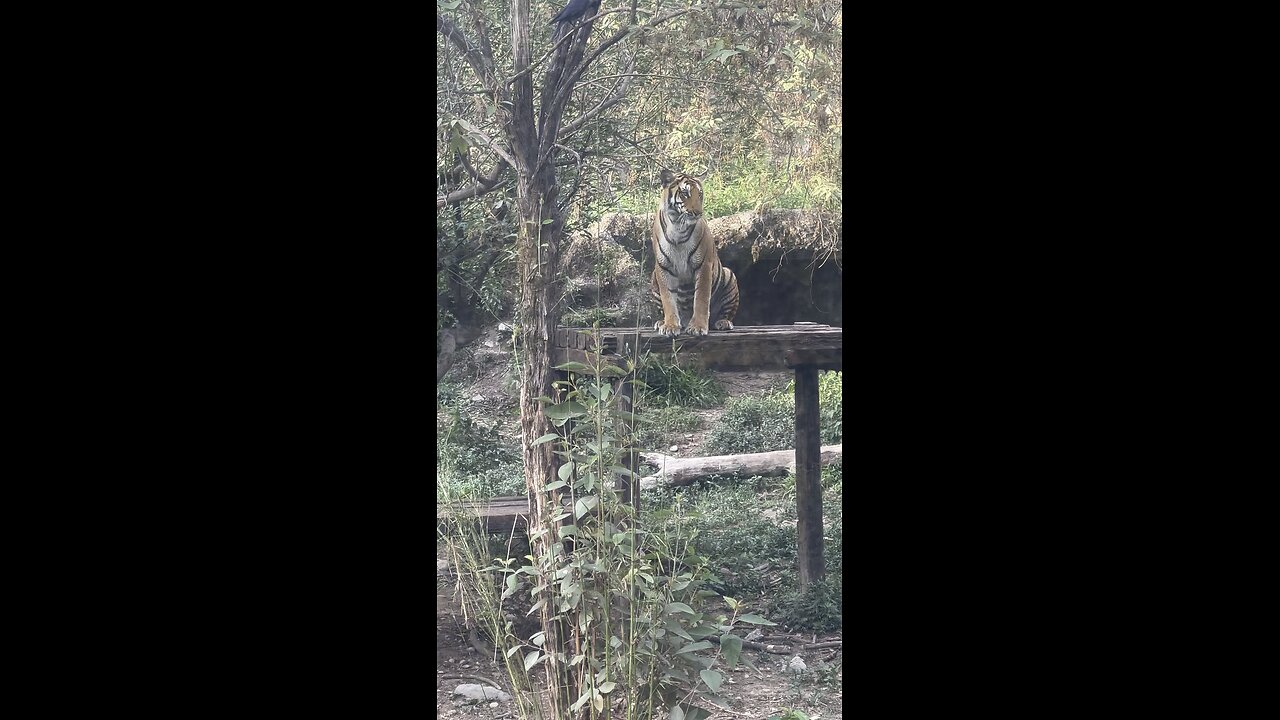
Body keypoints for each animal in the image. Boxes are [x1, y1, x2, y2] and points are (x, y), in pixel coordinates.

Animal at [650, 167, 742, 335]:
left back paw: (723, 322)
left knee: (725, 313)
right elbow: (668, 299)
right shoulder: (663, 267)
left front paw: (698, 327)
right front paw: (670, 326)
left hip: (729, 275)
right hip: (653, 276)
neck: (677, 227)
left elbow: (701, 298)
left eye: (700, 194)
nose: (698, 213)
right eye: (685, 193)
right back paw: (661, 322)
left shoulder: (704, 265)